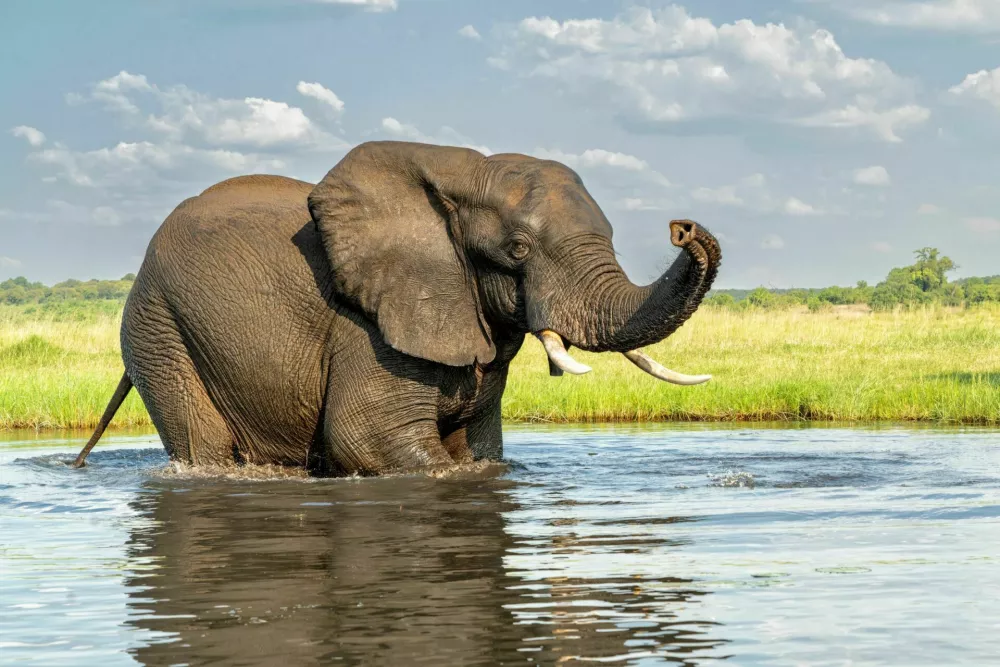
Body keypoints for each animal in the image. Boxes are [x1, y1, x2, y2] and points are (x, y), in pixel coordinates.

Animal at [72, 141, 721, 475]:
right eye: (518, 249)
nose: (682, 228)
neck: (464, 173)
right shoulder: (368, 325)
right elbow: (367, 438)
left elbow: (478, 448)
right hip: (158, 327)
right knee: (201, 444)